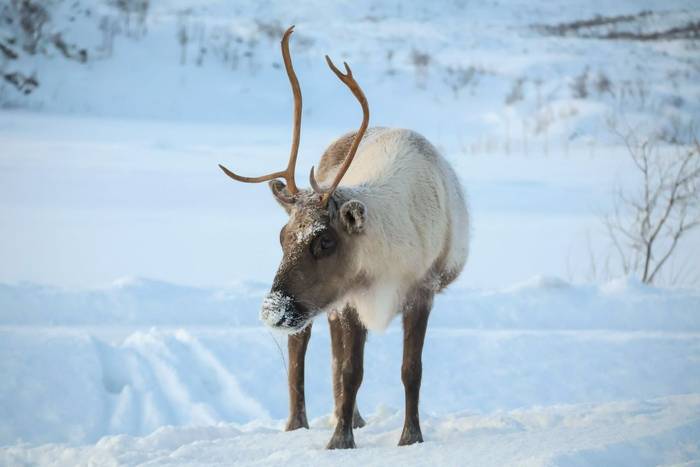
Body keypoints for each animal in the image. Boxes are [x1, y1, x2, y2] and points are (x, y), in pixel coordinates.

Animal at [219, 26, 469, 449]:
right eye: (282, 236)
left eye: (325, 240)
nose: (272, 309)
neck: (387, 261)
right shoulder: (349, 299)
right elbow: (351, 370)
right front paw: (339, 440)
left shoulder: (423, 289)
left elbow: (411, 369)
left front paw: (410, 437)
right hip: (318, 304)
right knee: (302, 349)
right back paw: (298, 424)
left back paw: (354, 417)